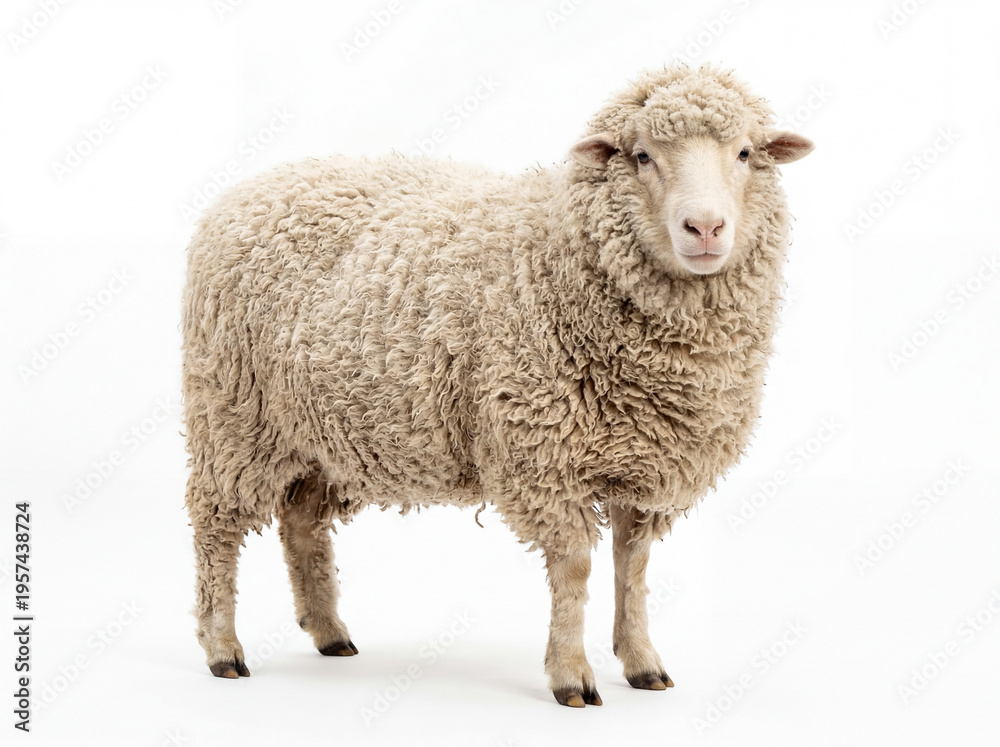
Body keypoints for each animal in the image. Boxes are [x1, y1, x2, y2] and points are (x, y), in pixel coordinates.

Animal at [182, 63, 813, 708]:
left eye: (745, 153)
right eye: (642, 156)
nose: (705, 227)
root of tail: (247, 190)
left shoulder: (645, 461)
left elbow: (632, 566)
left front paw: (642, 663)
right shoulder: (543, 455)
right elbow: (575, 567)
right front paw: (571, 676)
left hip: (319, 433)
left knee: (303, 523)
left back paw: (330, 633)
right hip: (234, 416)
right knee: (216, 527)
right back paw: (222, 648)